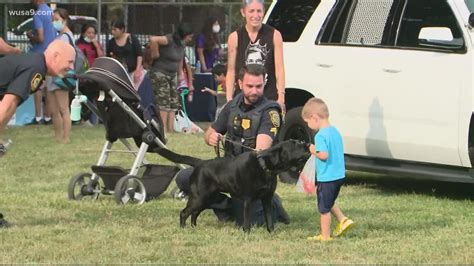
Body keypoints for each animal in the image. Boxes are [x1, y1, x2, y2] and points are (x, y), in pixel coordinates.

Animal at [156, 139, 312, 233]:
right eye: (295, 143)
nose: (307, 143)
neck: (264, 167)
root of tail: (200, 162)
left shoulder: (267, 198)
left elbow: (268, 217)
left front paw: (271, 232)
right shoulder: (248, 199)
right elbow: (247, 219)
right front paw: (247, 233)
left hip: (207, 198)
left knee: (194, 213)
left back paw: (194, 227)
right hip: (199, 197)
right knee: (184, 213)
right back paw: (183, 229)